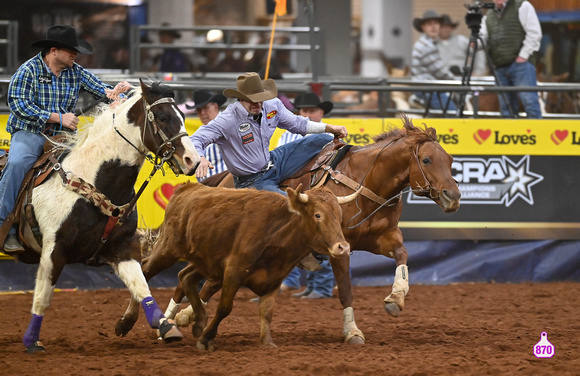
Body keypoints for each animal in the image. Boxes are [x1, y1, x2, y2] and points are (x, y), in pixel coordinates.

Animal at [14, 79, 199, 352]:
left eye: (184, 117)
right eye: (163, 118)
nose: (192, 160)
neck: (94, 180)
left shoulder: (122, 248)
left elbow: (141, 285)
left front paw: (163, 326)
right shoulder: (53, 251)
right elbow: (42, 296)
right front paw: (31, 340)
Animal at [165, 116, 460, 346]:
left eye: (450, 160)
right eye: (426, 159)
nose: (454, 196)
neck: (365, 182)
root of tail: (226, 179)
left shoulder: (383, 238)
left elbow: (402, 255)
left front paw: (396, 298)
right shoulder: (340, 247)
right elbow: (345, 290)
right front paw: (352, 331)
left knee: (207, 283)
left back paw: (184, 316)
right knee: (191, 280)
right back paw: (170, 320)